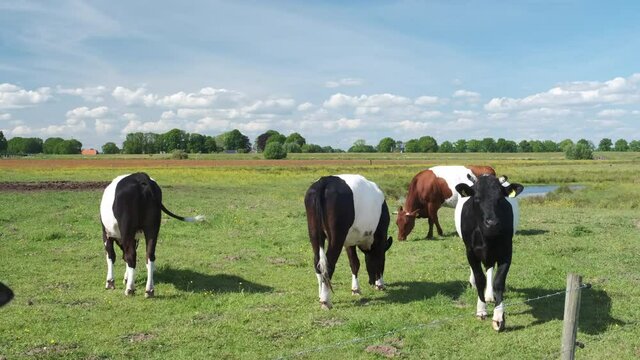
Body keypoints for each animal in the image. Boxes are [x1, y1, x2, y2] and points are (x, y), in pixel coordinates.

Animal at [304, 174, 392, 310]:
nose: (371, 282)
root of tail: (325, 181)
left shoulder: (349, 241)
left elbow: (354, 263)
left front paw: (356, 289)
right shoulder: (380, 235)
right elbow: (378, 258)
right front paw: (380, 284)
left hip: (314, 232)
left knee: (317, 262)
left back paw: (320, 295)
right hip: (337, 235)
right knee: (329, 263)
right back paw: (326, 301)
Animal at [452, 174, 524, 332]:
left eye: (500, 198)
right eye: (477, 198)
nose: (492, 223)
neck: (487, 237)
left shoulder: (507, 252)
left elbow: (498, 282)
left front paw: (498, 318)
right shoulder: (471, 252)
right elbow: (480, 279)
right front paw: (481, 310)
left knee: (490, 269)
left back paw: (490, 296)